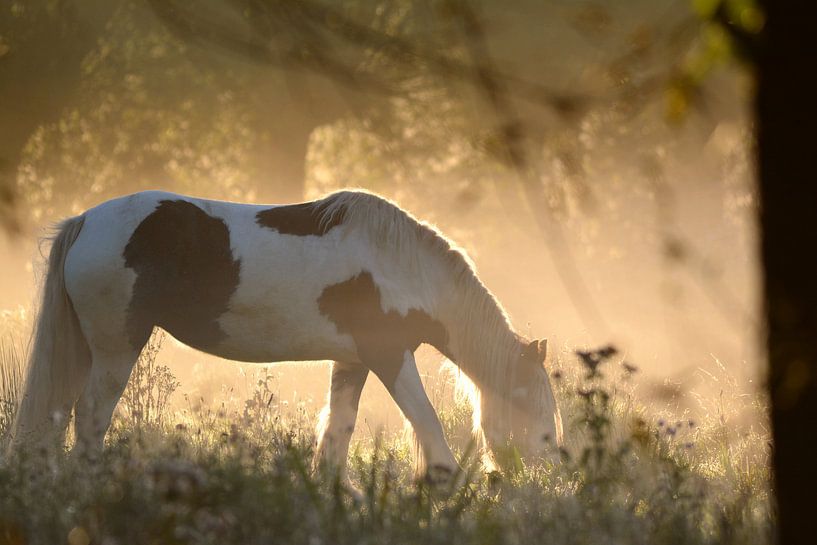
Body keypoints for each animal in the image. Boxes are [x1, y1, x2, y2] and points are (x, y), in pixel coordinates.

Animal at [11, 189, 560, 482]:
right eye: (540, 417)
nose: (544, 477)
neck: (401, 266)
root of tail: (86, 222)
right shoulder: (390, 355)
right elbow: (427, 422)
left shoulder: (353, 362)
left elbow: (338, 431)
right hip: (115, 348)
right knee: (90, 417)